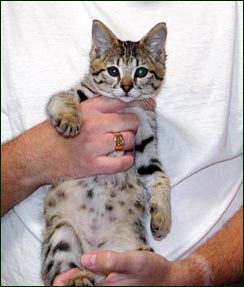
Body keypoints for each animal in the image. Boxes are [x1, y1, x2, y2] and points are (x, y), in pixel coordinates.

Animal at [42, 19, 171, 286]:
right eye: (113, 71)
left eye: (141, 72)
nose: (126, 87)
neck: (126, 107)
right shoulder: (74, 94)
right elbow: (64, 97)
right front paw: (69, 119)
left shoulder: (146, 146)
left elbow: (160, 177)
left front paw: (163, 218)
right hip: (62, 232)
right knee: (62, 265)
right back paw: (78, 277)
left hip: (124, 243)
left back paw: (143, 250)